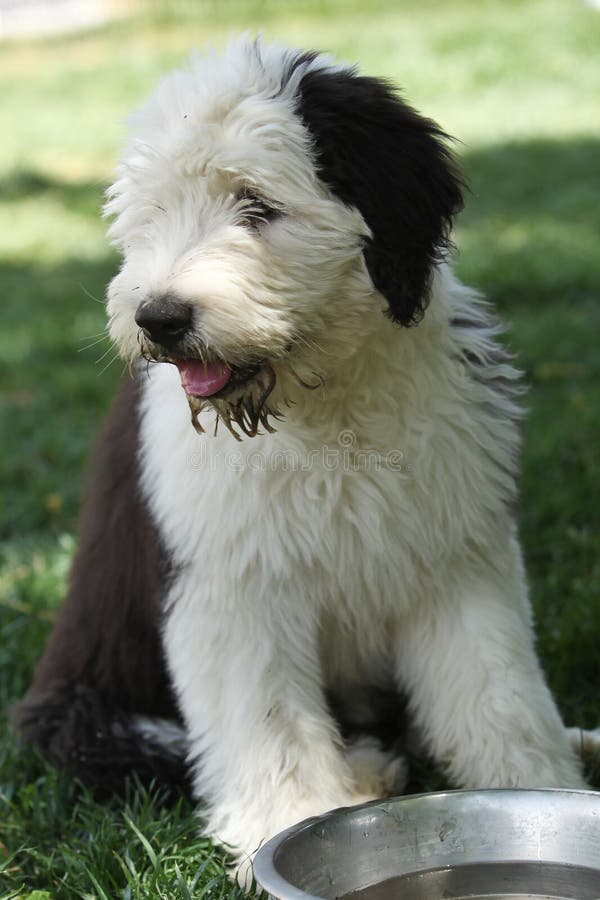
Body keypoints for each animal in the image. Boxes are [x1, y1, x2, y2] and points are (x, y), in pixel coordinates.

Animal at [17, 37, 596, 884]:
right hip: (92, 717)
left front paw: (537, 788)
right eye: (153, 214)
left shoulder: (456, 553)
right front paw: (289, 822)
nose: (159, 317)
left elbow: (495, 691)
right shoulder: (235, 586)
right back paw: (365, 772)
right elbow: (269, 725)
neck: (323, 408)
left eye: (257, 207)